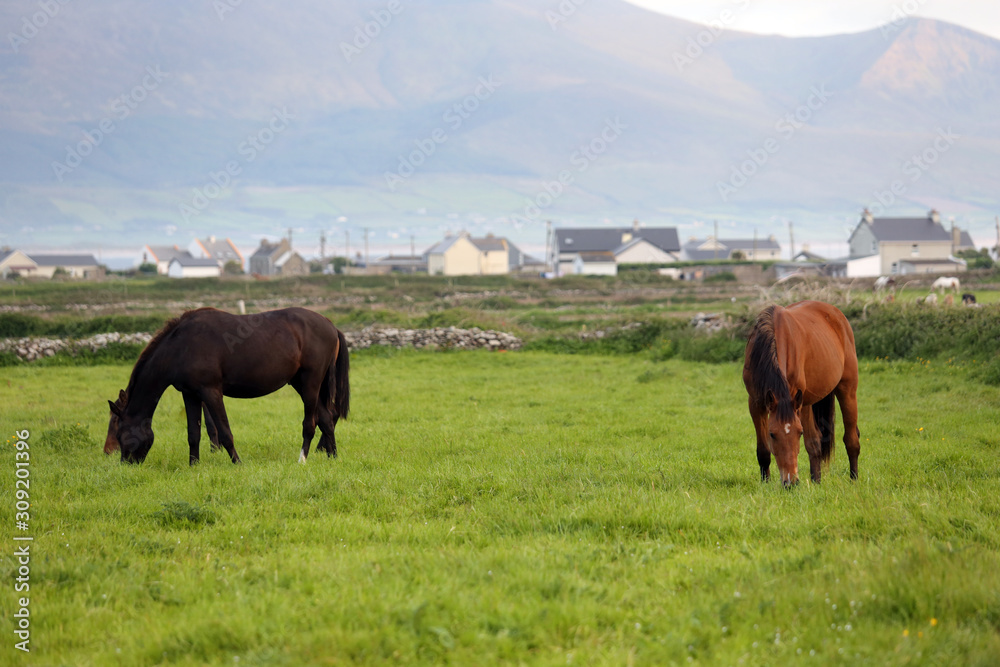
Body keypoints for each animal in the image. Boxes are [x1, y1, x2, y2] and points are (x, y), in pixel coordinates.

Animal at [106, 307, 350, 465]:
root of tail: (330, 325)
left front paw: (237, 462)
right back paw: (333, 457)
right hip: (302, 384)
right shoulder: (190, 394)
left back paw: (302, 459)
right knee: (326, 419)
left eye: (119, 432)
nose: (124, 464)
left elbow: (224, 432)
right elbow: (193, 433)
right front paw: (193, 466)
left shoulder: (211, 392)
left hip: (310, 384)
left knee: (310, 423)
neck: (181, 345)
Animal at [742, 301, 860, 486]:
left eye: (800, 432)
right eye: (772, 434)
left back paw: (853, 478)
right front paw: (765, 483)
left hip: (847, 390)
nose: (790, 482)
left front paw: (815, 482)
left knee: (851, 439)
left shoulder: (799, 402)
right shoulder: (756, 403)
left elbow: (811, 442)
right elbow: (763, 450)